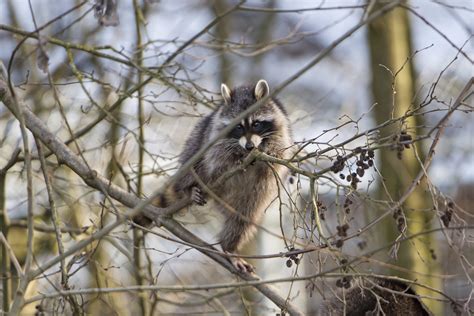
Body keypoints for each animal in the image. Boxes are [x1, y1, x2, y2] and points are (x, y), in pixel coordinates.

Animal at [170, 79, 292, 272]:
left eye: (256, 124)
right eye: (238, 126)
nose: (249, 146)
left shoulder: (281, 130)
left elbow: (278, 155)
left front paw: (267, 153)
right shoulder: (215, 132)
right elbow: (217, 156)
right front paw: (235, 159)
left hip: (254, 196)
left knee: (242, 219)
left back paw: (229, 246)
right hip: (197, 140)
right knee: (192, 159)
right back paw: (187, 188)